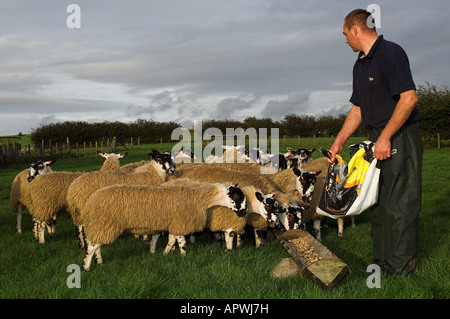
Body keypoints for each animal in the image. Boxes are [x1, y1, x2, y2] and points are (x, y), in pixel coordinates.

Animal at [81, 181, 250, 272]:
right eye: (236, 196)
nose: (243, 212)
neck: (200, 198)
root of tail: (91, 200)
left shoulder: (174, 223)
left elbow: (171, 240)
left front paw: (165, 253)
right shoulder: (180, 222)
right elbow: (181, 242)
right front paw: (184, 256)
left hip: (101, 225)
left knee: (95, 244)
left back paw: (99, 261)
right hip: (104, 223)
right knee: (92, 245)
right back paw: (86, 266)